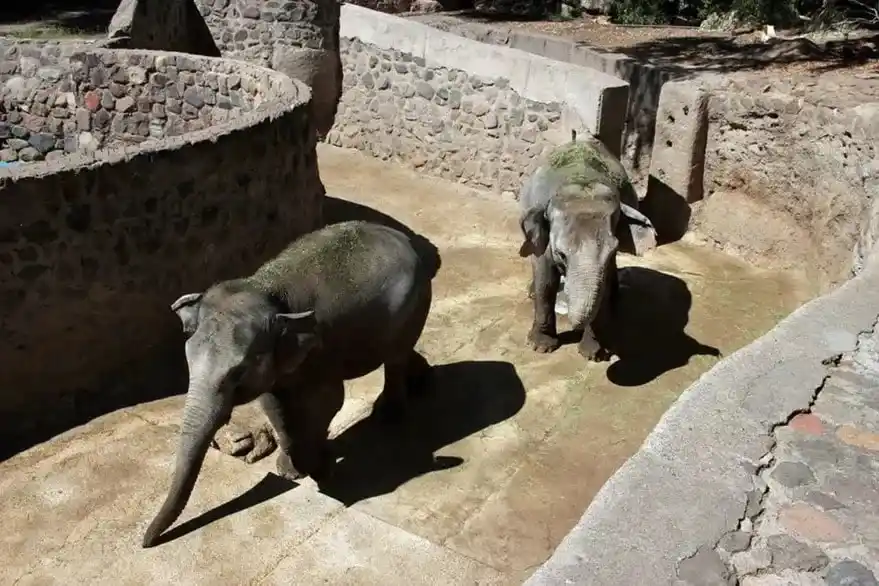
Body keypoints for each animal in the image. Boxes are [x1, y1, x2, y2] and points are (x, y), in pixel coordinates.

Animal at [142, 220, 434, 548]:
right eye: (188, 362)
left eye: (238, 372)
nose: (144, 543)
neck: (266, 289)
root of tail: (404, 237)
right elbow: (274, 404)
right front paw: (290, 470)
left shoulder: (321, 349)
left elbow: (329, 402)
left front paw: (319, 469)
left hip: (416, 303)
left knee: (395, 357)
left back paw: (389, 415)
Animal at [518, 135, 655, 362]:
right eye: (561, 254)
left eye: (612, 251)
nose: (576, 327)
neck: (580, 181)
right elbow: (545, 279)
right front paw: (540, 347)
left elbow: (603, 285)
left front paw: (593, 354)